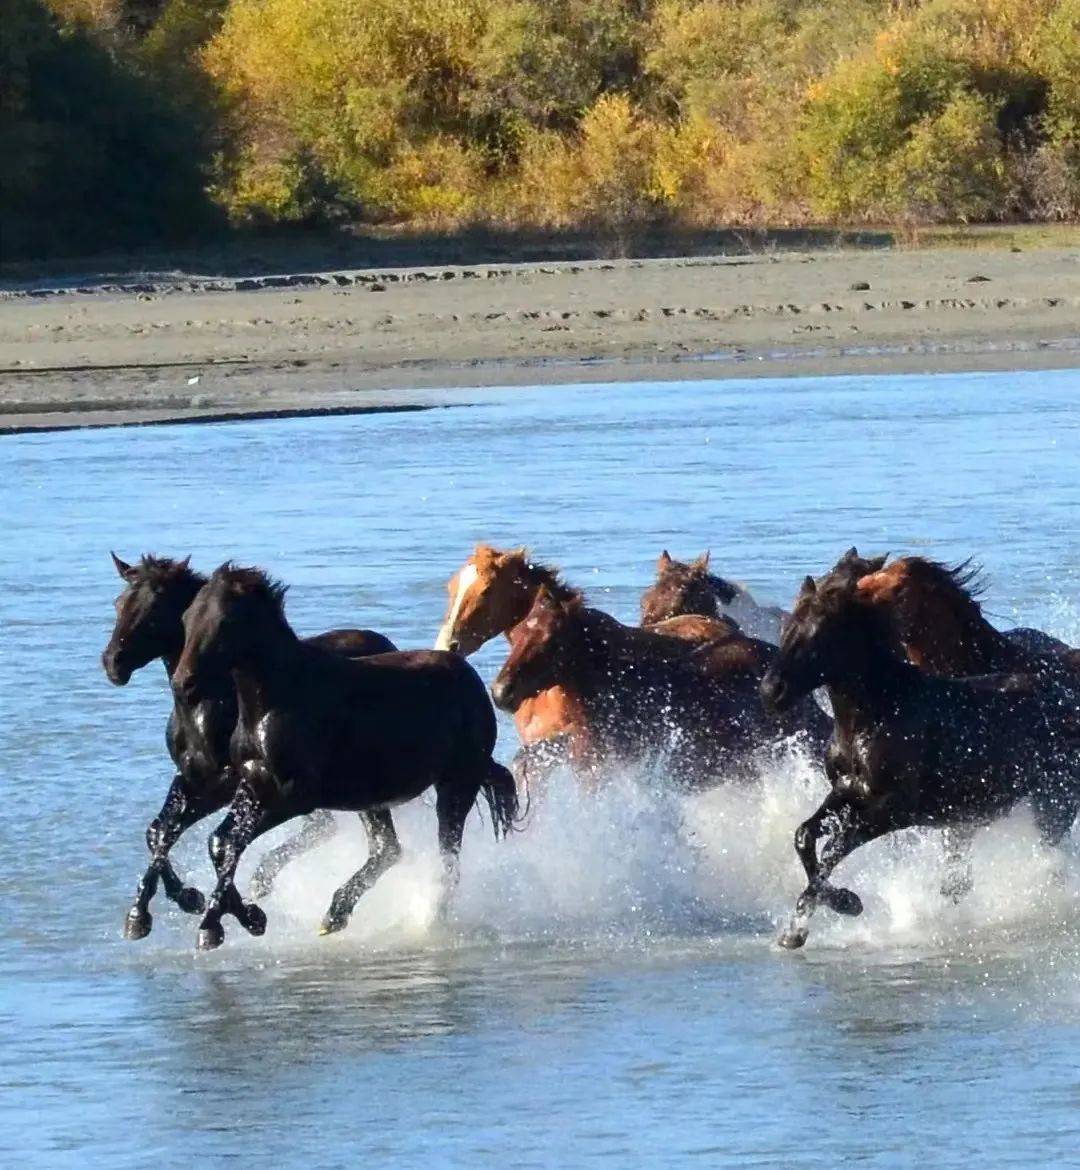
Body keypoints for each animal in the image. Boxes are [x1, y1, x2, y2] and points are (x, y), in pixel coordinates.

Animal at [100, 549, 397, 940]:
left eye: (155, 608)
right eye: (120, 603)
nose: (112, 663)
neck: (207, 703)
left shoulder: (229, 783)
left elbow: (217, 842)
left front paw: (235, 914)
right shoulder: (194, 778)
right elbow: (159, 832)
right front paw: (162, 907)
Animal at [173, 563, 519, 950]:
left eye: (225, 621)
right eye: (187, 617)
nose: (183, 684)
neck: (277, 699)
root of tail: (471, 680)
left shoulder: (291, 798)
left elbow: (230, 842)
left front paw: (222, 923)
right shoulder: (253, 787)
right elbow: (220, 842)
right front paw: (240, 918)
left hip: (456, 784)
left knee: (446, 865)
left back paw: (424, 922)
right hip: (373, 797)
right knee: (387, 849)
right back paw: (334, 915)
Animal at [758, 556, 1080, 950]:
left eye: (819, 634)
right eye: (787, 627)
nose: (770, 692)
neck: (879, 713)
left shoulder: (893, 809)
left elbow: (834, 847)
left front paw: (844, 905)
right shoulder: (846, 793)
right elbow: (804, 836)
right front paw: (800, 928)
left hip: (1054, 801)